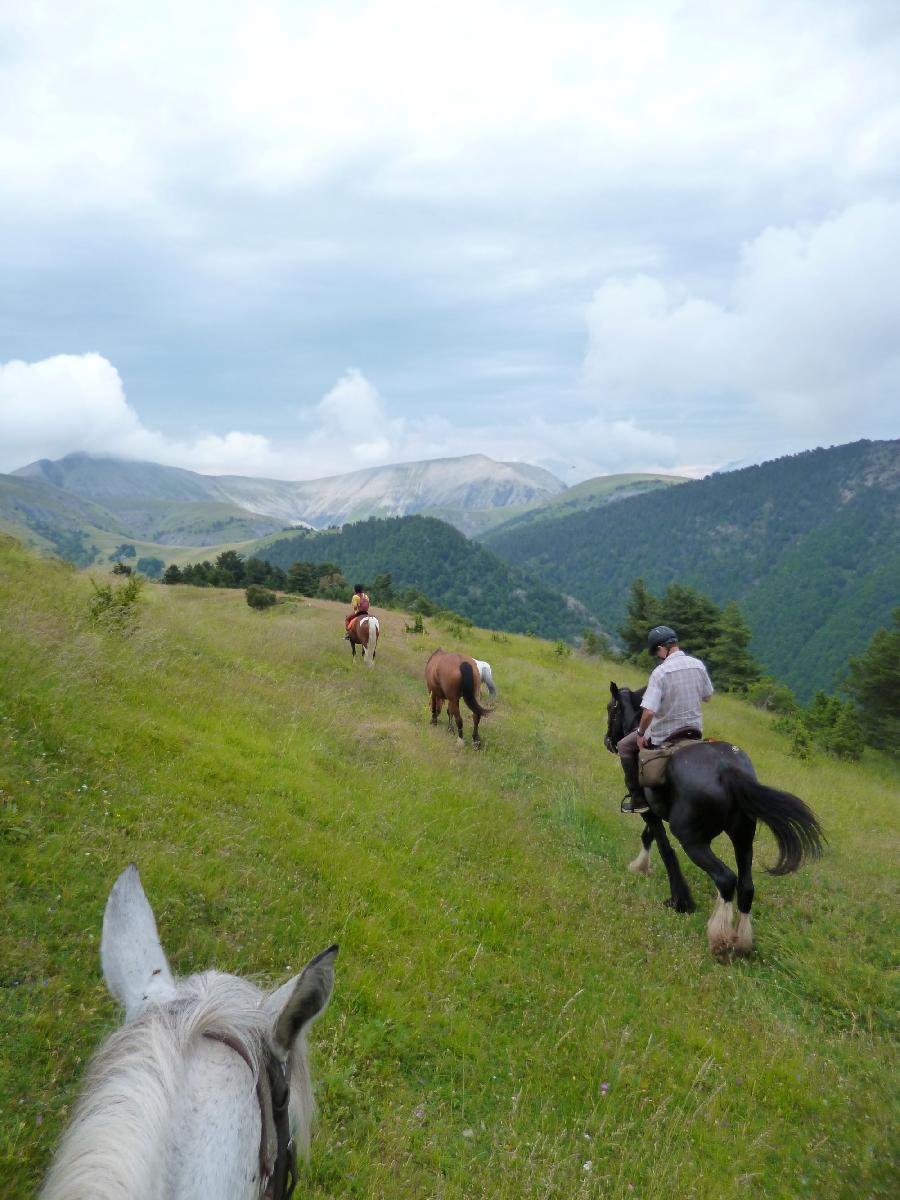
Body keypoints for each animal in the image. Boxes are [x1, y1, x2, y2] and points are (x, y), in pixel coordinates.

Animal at [607, 686, 825, 955]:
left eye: (611, 709)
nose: (608, 741)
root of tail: (727, 770)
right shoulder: (656, 811)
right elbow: (650, 837)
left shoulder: (649, 811)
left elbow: (664, 848)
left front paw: (677, 899)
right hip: (743, 836)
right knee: (746, 886)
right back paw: (741, 941)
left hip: (693, 841)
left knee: (725, 878)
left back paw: (719, 937)